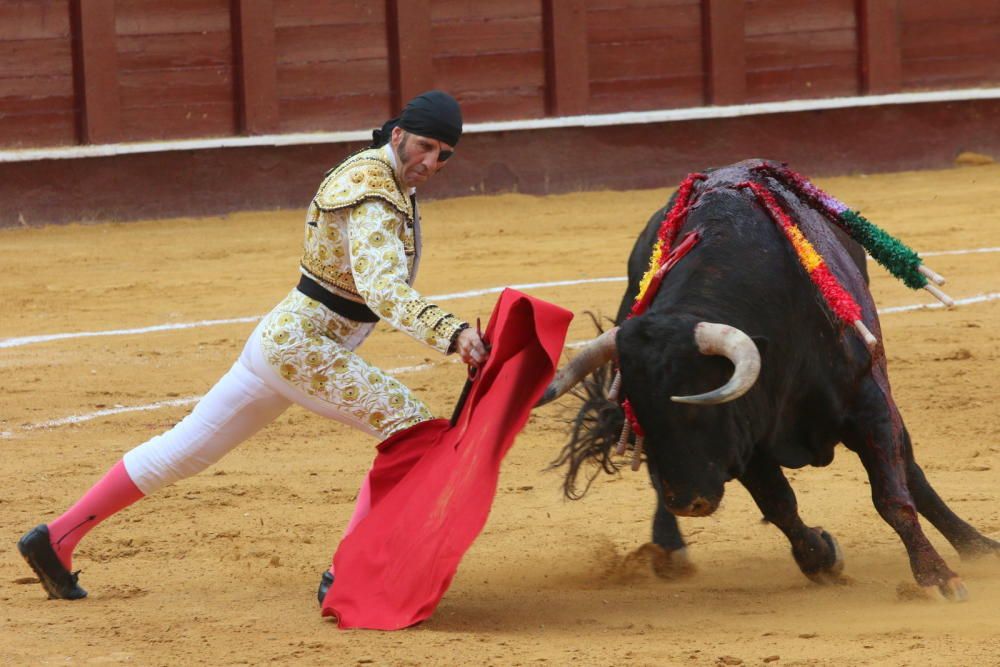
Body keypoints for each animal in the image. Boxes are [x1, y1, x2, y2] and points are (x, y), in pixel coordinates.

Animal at [544, 160, 996, 600]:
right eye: (639, 418)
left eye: (697, 409)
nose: (688, 502)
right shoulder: (748, 434)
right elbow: (780, 504)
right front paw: (822, 558)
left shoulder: (868, 404)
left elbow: (892, 495)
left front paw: (937, 577)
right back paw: (670, 550)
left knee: (911, 471)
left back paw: (976, 545)